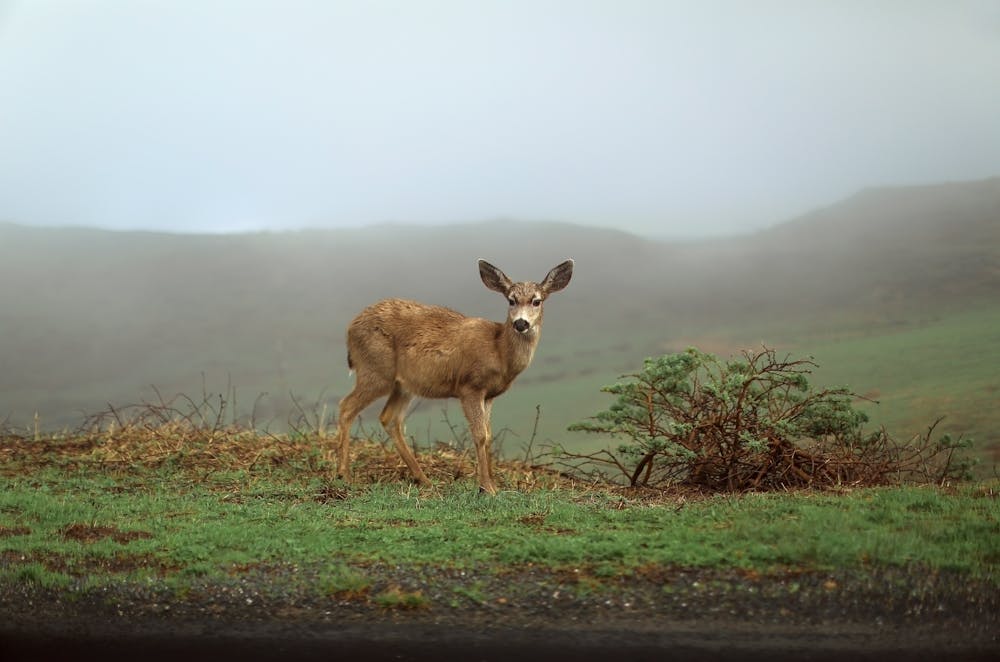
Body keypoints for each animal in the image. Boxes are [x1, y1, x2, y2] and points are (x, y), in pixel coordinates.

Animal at [334, 260, 576, 492]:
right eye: (511, 300)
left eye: (537, 301)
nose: (520, 323)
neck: (499, 351)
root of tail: (349, 329)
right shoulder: (470, 386)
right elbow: (480, 435)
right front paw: (486, 487)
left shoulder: (489, 395)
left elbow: (489, 436)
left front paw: (493, 484)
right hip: (375, 370)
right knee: (346, 406)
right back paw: (343, 474)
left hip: (403, 384)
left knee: (389, 418)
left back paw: (423, 479)